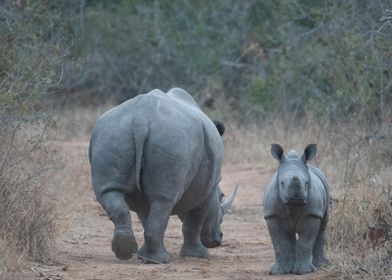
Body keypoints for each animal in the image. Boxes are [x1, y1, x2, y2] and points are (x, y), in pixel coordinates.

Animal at [89, 88, 237, 264]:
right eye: (221, 196)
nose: (218, 240)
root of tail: (140, 119)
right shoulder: (209, 186)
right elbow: (195, 218)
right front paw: (199, 255)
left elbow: (145, 217)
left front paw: (141, 254)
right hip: (172, 141)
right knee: (163, 200)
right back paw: (159, 260)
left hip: (113, 134)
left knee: (110, 192)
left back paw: (126, 252)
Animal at [264, 143, 330, 274]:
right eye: (282, 183)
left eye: (307, 183)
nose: (296, 196)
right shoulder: (272, 214)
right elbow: (279, 243)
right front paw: (277, 272)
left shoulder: (313, 214)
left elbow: (305, 242)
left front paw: (304, 271)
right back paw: (290, 268)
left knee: (322, 227)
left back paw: (320, 265)